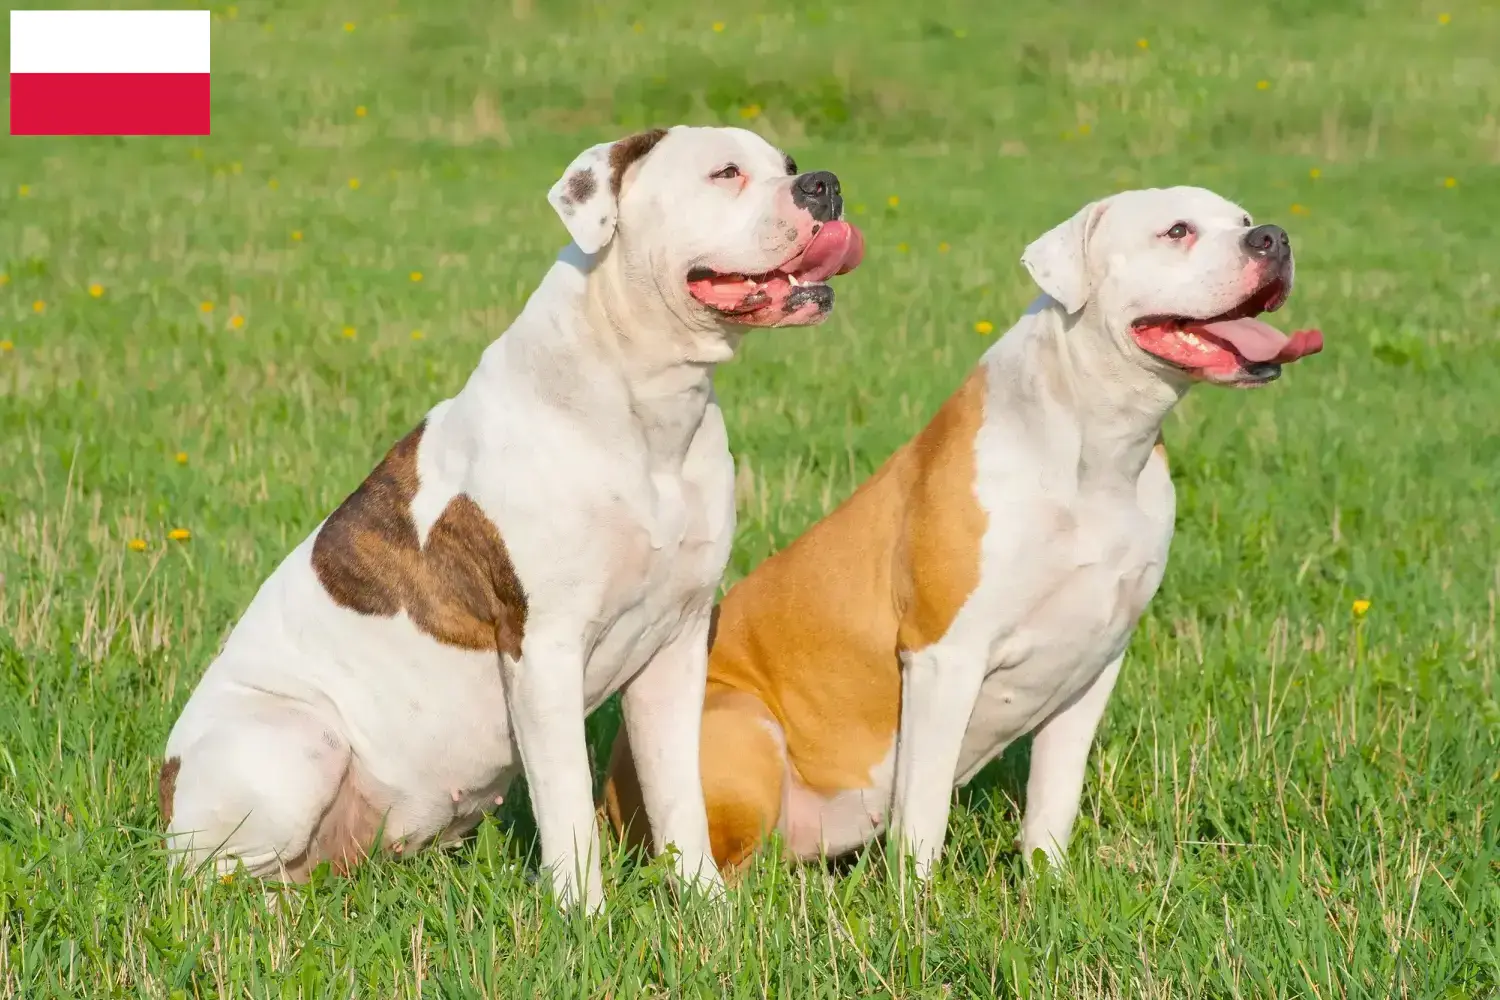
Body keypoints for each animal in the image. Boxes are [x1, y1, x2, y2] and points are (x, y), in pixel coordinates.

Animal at [158, 122, 864, 905]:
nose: (825, 184)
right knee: (212, 879)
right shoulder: (544, 651)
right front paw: (583, 913)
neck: (645, 400)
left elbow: (680, 792)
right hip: (296, 742)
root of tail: (166, 791)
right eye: (725, 173)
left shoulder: (677, 645)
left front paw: (707, 906)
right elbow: (567, 802)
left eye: (789, 164)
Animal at [603, 183, 1320, 881]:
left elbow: (1053, 800)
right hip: (740, 724)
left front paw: (1048, 888)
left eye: (1244, 220)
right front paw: (916, 905)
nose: (1274, 238)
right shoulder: (944, 656)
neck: (1097, 448)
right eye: (1176, 231)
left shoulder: (1094, 665)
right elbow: (923, 812)